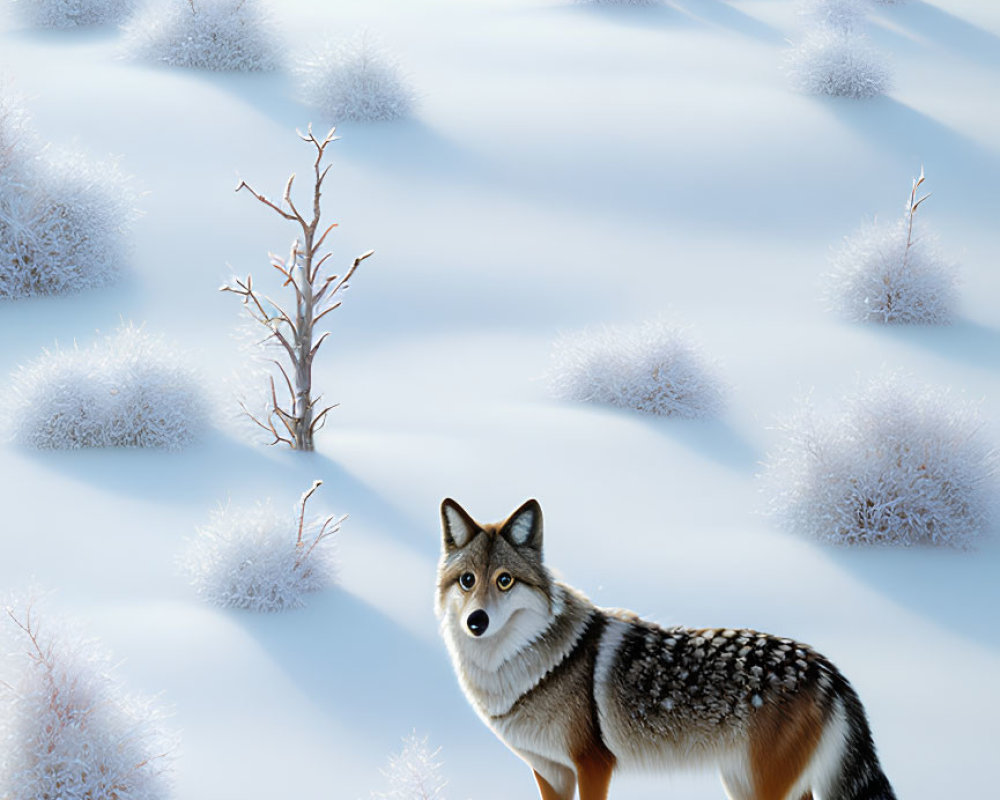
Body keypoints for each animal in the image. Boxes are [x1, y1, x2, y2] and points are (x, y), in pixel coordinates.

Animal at [438, 496, 900, 800]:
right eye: (467, 581)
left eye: (504, 580)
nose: (476, 622)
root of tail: (827, 668)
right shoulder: (550, 772)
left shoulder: (592, 766)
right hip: (744, 783)